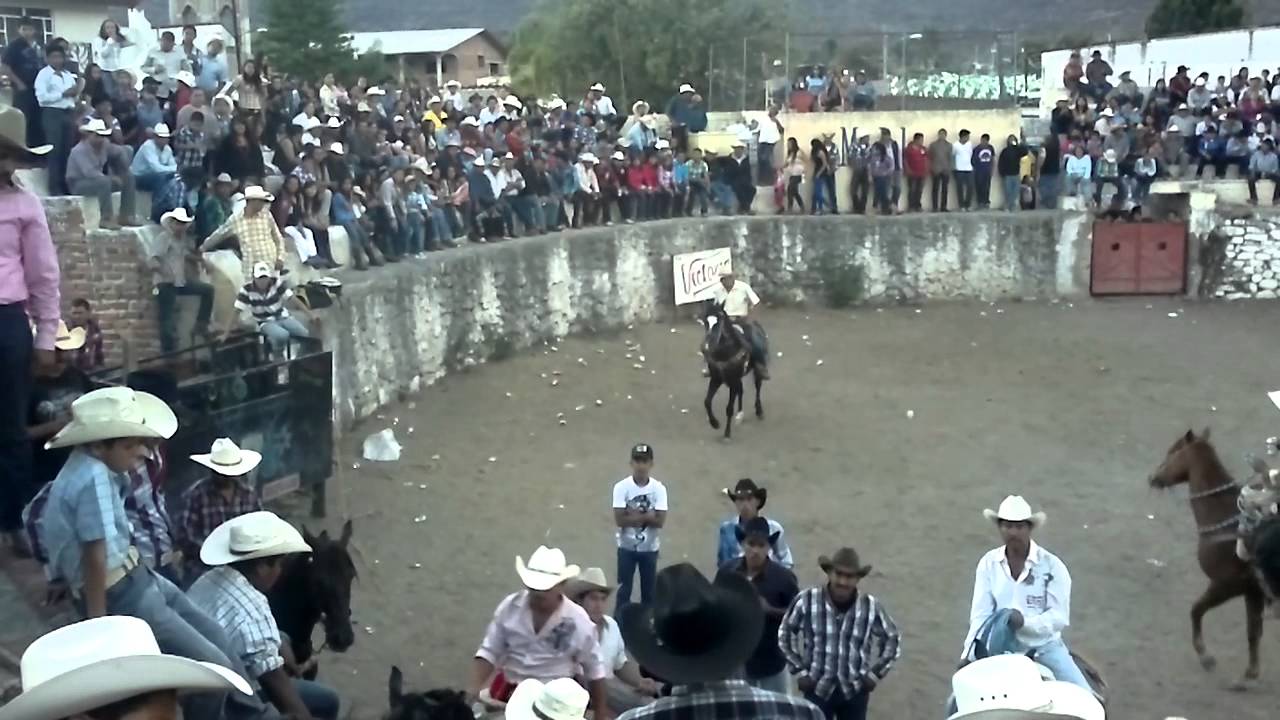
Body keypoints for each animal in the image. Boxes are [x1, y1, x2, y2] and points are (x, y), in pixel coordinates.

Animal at [706, 302, 762, 438]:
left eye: (719, 322)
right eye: (705, 322)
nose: (705, 346)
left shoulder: (733, 381)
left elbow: (729, 408)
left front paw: (727, 433)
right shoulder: (716, 379)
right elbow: (707, 402)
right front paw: (714, 423)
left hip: (756, 371)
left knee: (758, 387)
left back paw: (759, 411)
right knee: (741, 391)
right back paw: (740, 415)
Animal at [1146, 427, 1264, 686]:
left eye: (1172, 452)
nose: (1153, 477)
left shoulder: (1226, 585)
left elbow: (1196, 610)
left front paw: (1205, 656)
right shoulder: (1252, 591)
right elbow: (1253, 631)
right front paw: (1250, 674)